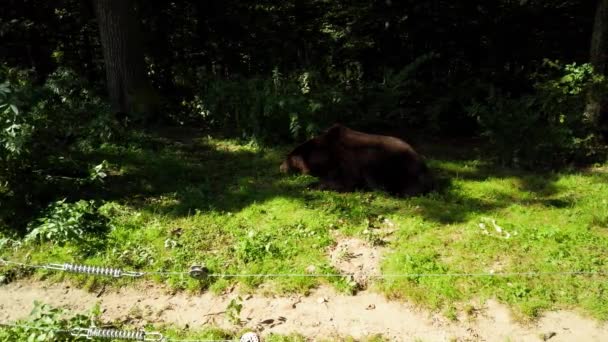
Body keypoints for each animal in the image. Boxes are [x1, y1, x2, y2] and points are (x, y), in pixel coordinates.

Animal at [278, 124, 434, 196]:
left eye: (287, 159)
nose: (280, 167)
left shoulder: (346, 162)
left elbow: (343, 180)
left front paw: (311, 185)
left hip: (397, 165)